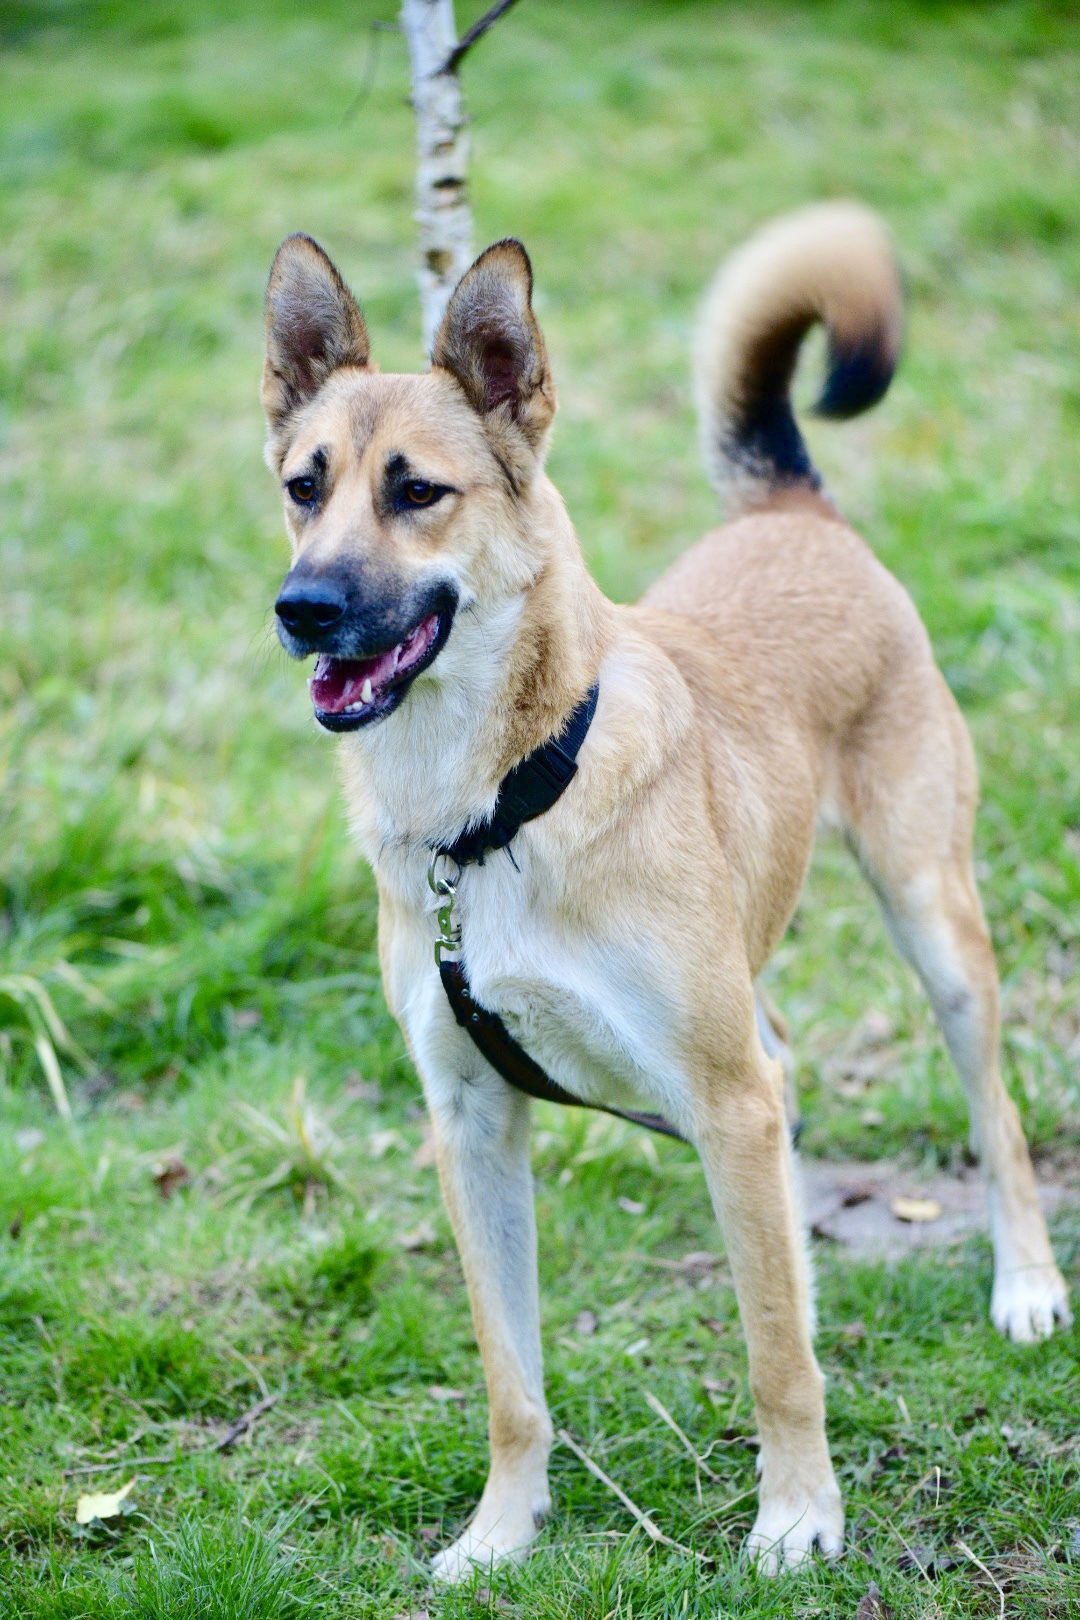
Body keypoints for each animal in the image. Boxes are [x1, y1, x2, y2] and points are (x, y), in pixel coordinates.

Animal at [262, 205, 1075, 1581]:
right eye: (302, 487)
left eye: (417, 491)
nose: (302, 609)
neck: (493, 811)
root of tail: (793, 508)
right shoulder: (472, 1123)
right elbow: (511, 1381)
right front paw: (503, 1531)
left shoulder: (723, 1105)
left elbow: (774, 1357)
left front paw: (798, 1517)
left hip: (931, 915)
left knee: (998, 1114)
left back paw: (1025, 1286)